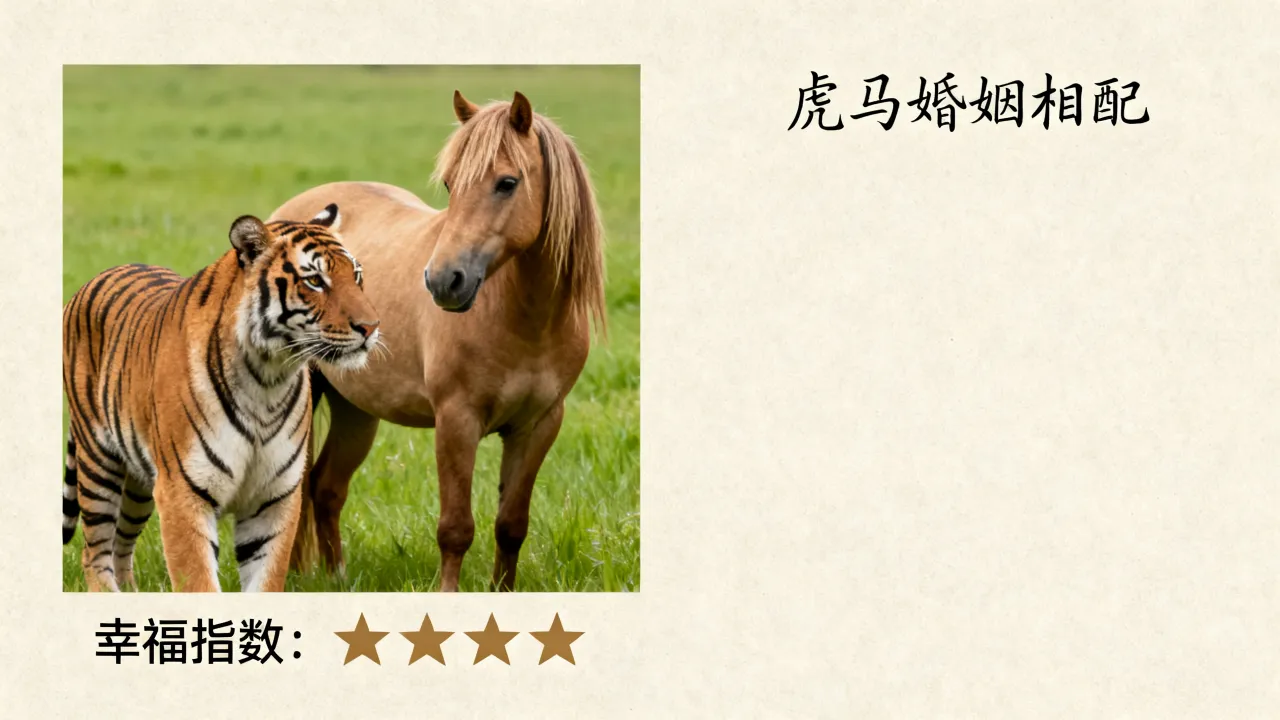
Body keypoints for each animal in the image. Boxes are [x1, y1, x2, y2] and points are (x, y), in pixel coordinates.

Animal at [61, 204, 380, 592]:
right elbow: (198, 580)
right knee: (95, 550)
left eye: (357, 275)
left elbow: (266, 580)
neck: (268, 380)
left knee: (122, 543)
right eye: (315, 281)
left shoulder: (273, 499)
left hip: (139, 485)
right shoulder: (183, 493)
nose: (371, 327)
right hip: (99, 464)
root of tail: (103, 273)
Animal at [268, 90, 606, 592]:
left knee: (325, 487)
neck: (526, 320)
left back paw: (338, 577)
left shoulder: (539, 425)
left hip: (357, 410)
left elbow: (511, 526)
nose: (444, 281)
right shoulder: (456, 421)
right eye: (450, 184)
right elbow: (455, 528)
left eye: (507, 183)